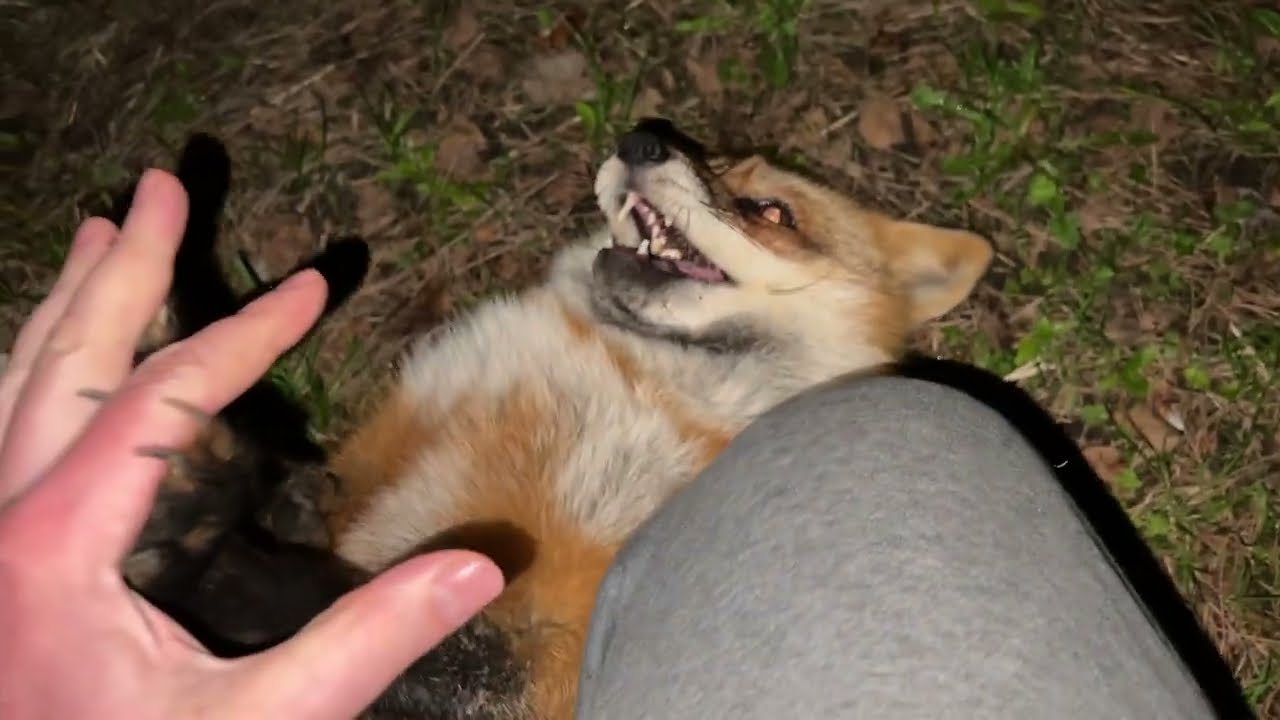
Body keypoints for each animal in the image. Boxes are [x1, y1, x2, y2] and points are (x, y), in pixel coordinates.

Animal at [120, 118, 995, 719]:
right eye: (703, 152)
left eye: (769, 211)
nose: (643, 136)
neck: (622, 377)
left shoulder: (530, 663)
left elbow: (364, 629)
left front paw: (197, 532)